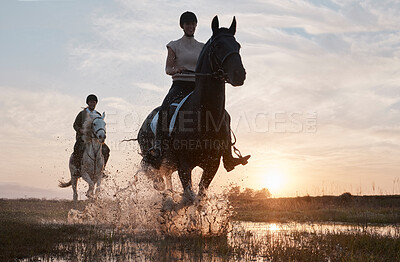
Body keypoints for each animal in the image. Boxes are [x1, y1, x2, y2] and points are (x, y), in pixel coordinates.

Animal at [136, 15, 245, 205]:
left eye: (237, 45)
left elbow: (199, 198)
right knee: (159, 183)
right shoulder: (184, 165)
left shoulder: (212, 165)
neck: (204, 114)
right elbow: (189, 196)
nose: (239, 74)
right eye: (218, 46)